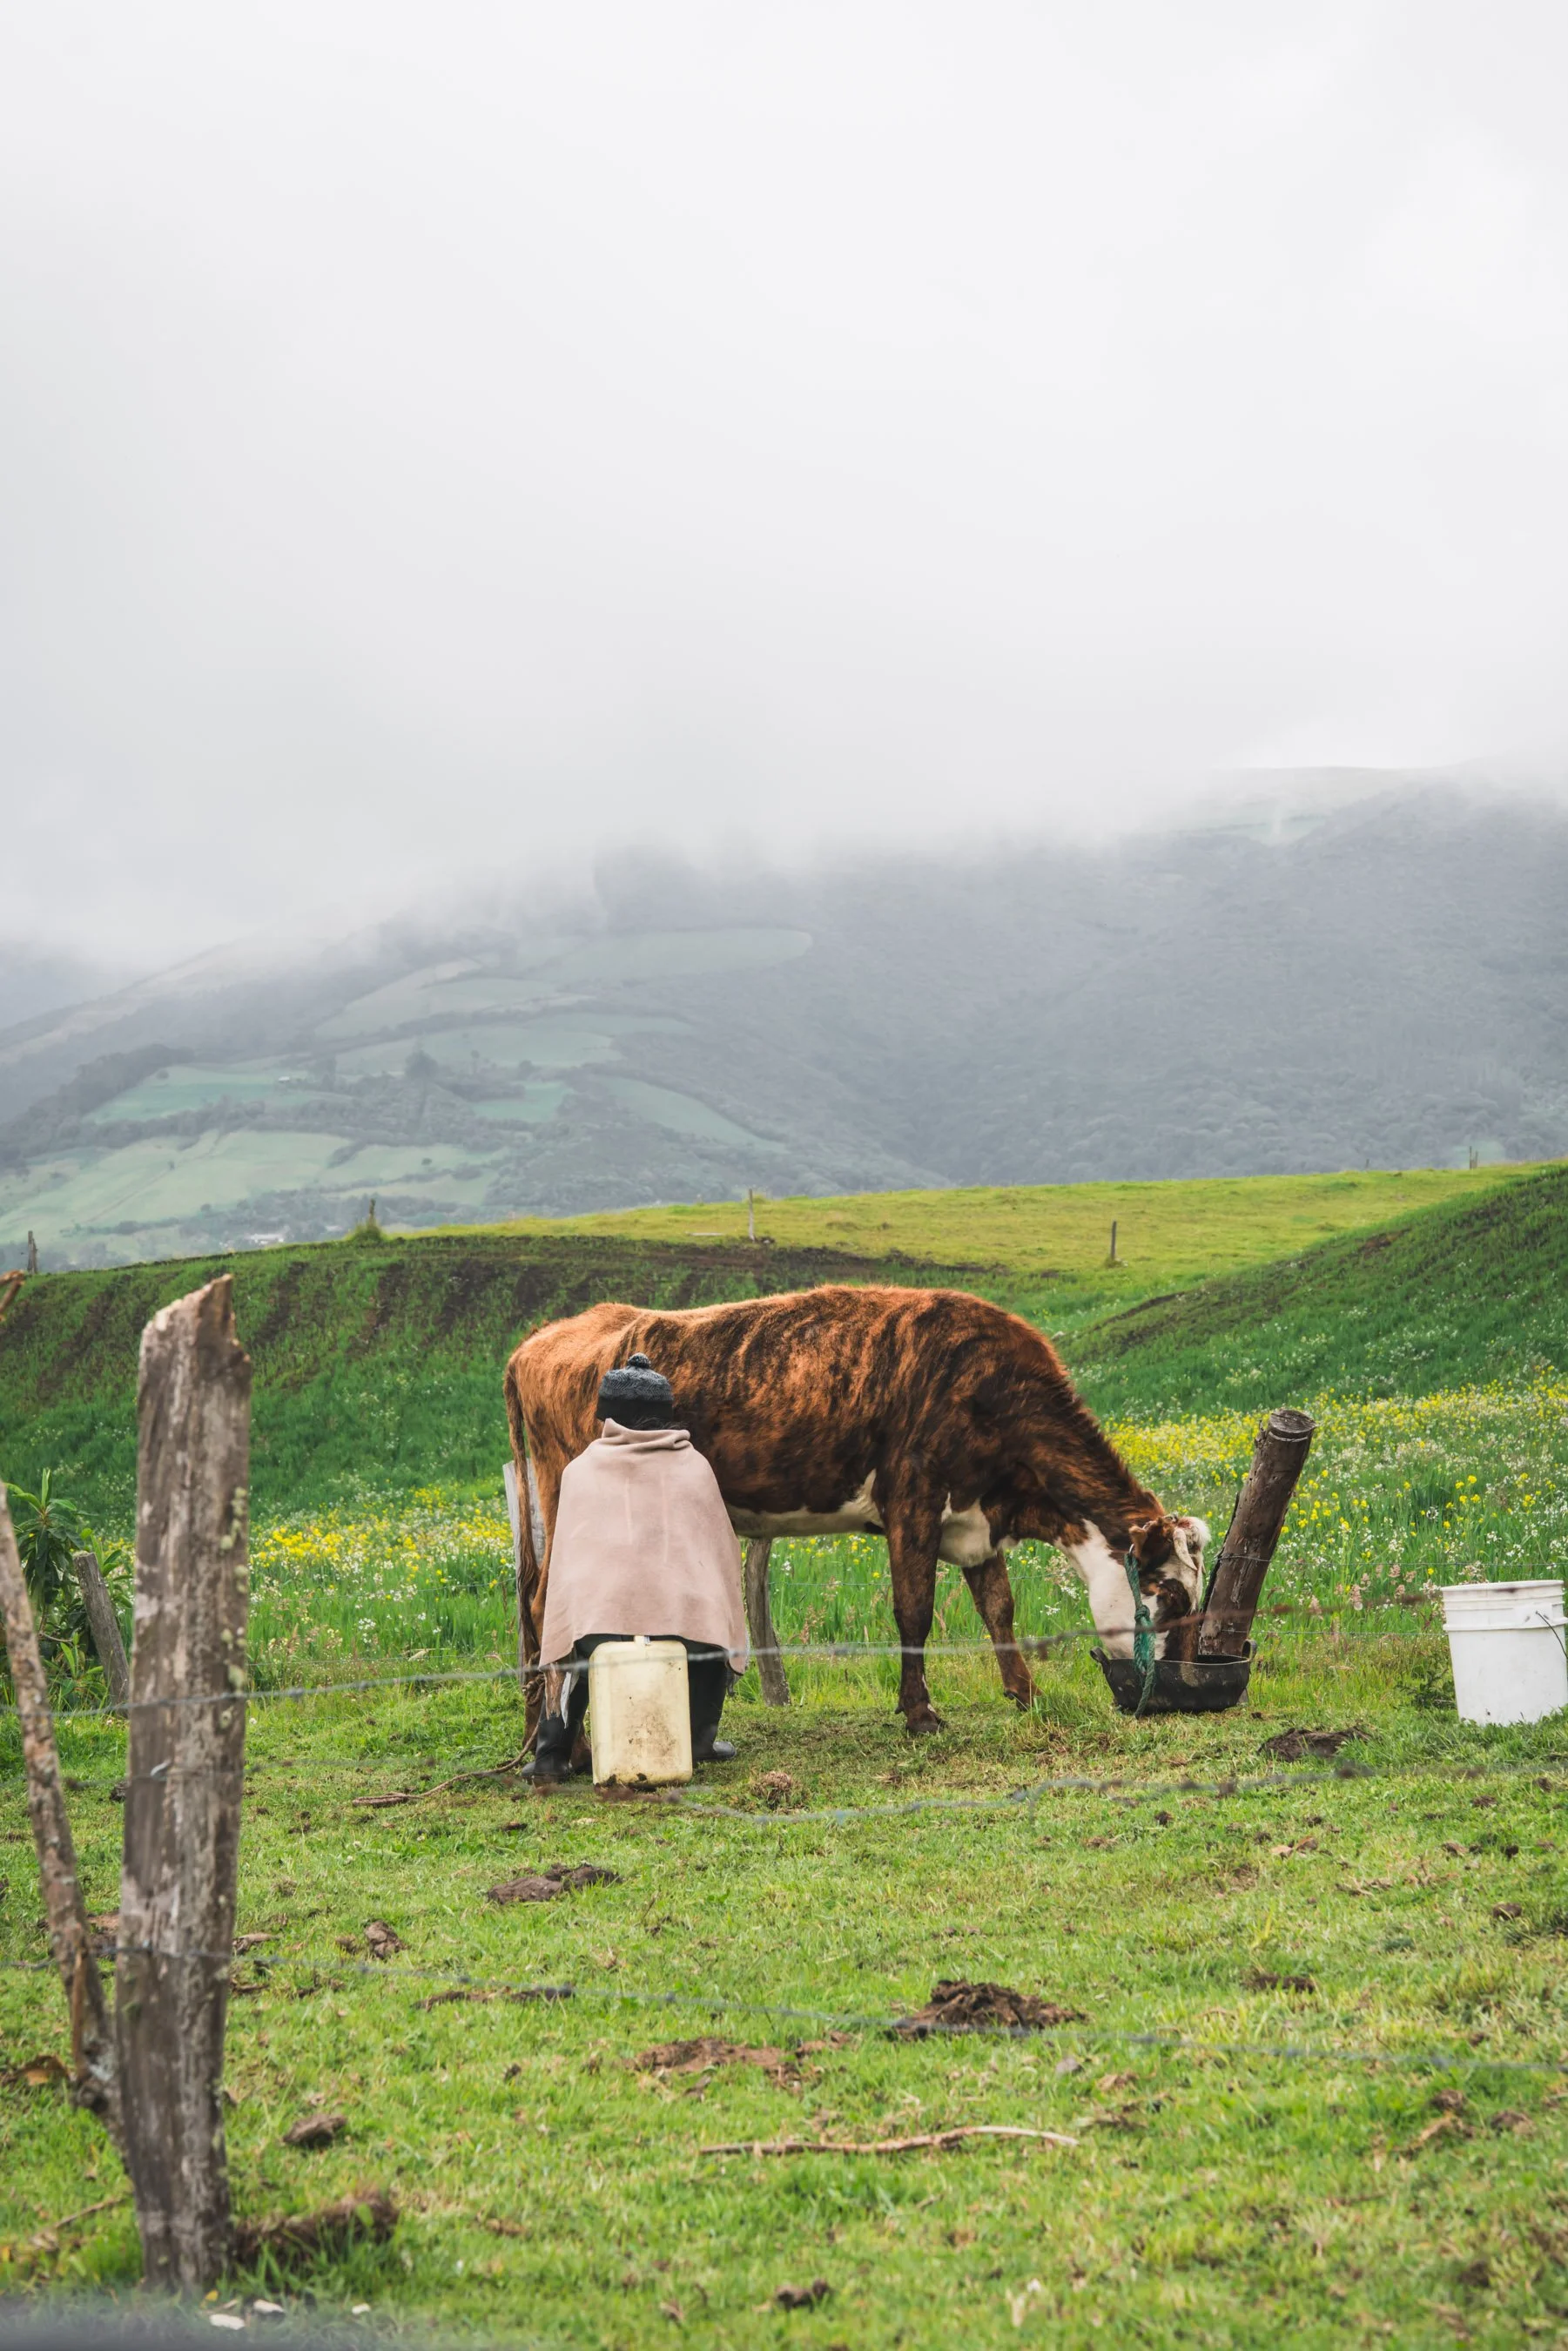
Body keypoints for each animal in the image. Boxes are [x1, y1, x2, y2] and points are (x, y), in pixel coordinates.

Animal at [503, 1284, 1209, 1737]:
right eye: (1171, 1597)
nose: (1182, 1691)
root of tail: (543, 1337)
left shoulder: (975, 1522)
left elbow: (998, 1611)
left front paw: (1026, 1695)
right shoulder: (912, 1499)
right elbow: (914, 1612)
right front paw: (920, 1714)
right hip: (565, 1495)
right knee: (544, 1606)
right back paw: (550, 1737)